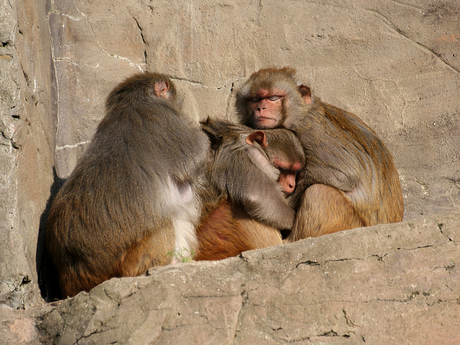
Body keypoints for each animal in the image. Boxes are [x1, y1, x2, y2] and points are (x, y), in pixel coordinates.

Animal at [45, 72, 209, 296]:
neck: (133, 101)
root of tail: (75, 282)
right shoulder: (165, 121)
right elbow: (198, 154)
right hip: (129, 262)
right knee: (165, 223)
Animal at [237, 67, 402, 239]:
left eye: (273, 98)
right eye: (254, 99)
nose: (260, 108)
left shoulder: (309, 128)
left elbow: (345, 174)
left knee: (318, 191)